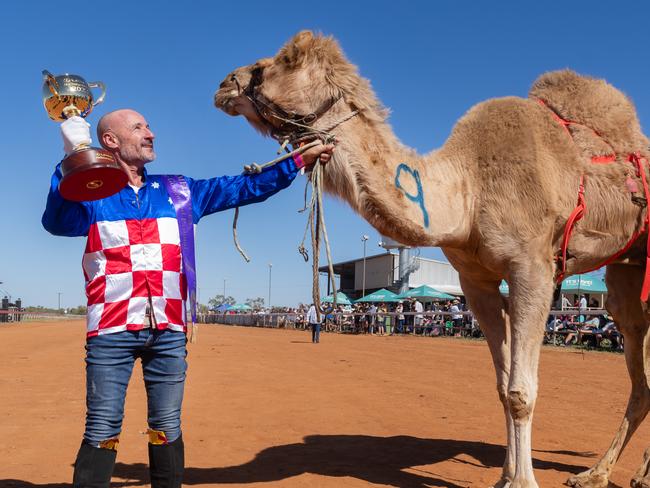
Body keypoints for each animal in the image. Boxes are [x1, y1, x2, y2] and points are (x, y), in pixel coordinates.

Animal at [215, 31, 648, 488]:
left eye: (280, 62)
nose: (225, 83)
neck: (468, 190)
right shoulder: (476, 281)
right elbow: (502, 387)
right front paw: (504, 477)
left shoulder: (533, 268)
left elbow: (520, 391)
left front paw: (523, 482)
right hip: (625, 272)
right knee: (638, 364)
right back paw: (596, 473)